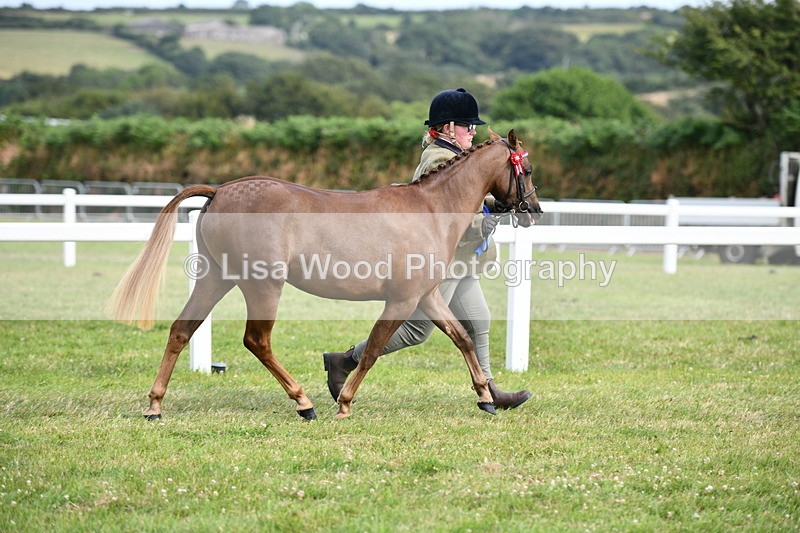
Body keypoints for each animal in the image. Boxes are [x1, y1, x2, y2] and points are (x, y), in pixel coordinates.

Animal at [108, 128, 542, 421]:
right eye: (527, 169)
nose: (534, 210)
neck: (431, 210)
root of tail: (220, 192)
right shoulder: (401, 300)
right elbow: (372, 349)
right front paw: (345, 403)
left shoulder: (428, 297)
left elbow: (463, 339)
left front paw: (486, 397)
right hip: (263, 285)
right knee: (257, 341)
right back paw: (304, 403)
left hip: (216, 278)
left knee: (182, 330)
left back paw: (155, 406)